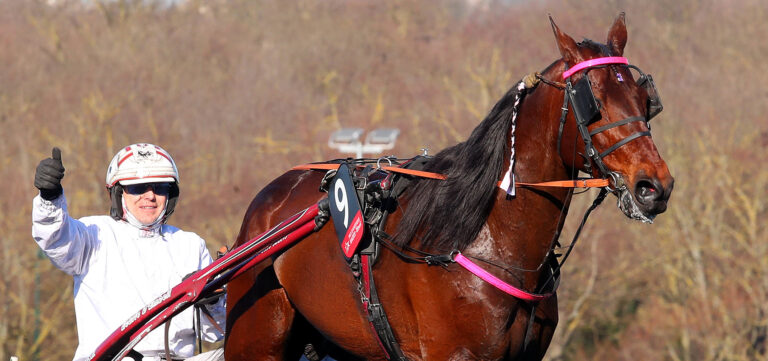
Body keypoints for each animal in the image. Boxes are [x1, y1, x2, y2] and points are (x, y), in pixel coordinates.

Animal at [222, 14, 672, 360]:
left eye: (643, 98)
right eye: (593, 100)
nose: (654, 185)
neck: (480, 236)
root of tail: (271, 196)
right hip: (256, 338)